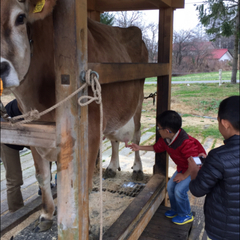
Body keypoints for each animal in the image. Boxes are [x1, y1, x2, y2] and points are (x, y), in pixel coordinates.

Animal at [0, 0, 148, 232]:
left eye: (20, 18)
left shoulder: (91, 131)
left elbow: (83, 183)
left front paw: (84, 224)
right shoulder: (31, 130)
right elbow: (42, 176)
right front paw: (46, 215)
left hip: (139, 98)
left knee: (136, 136)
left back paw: (138, 169)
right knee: (114, 138)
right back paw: (112, 167)